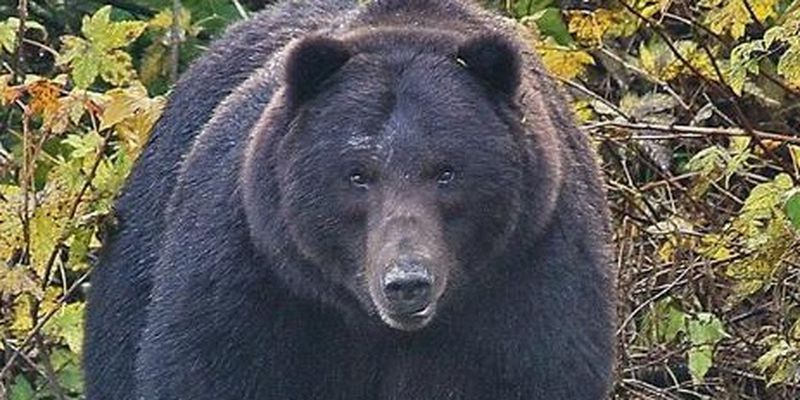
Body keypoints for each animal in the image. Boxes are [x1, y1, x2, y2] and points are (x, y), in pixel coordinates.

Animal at [83, 0, 616, 399]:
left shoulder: (529, 276)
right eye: (358, 174)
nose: (407, 282)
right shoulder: (257, 274)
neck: (375, 326)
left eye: (446, 172)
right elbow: (211, 365)